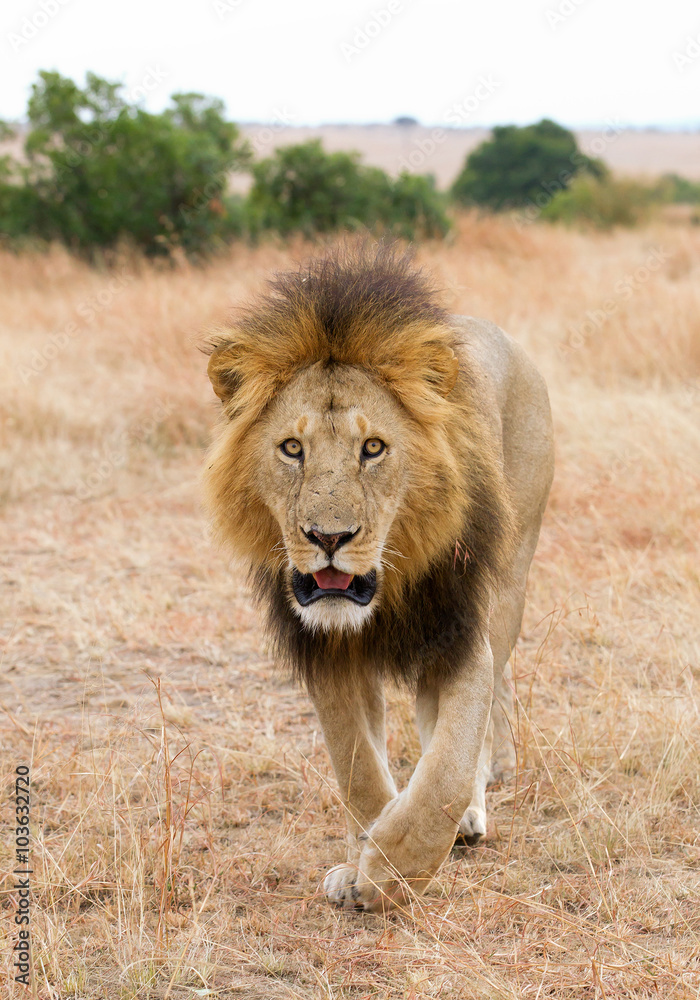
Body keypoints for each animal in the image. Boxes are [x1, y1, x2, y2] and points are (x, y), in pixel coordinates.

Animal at [202, 242, 552, 916]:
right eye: (291, 448)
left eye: (373, 448)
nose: (328, 538)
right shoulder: (328, 653)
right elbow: (357, 765)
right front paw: (362, 854)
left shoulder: (459, 633)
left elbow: (445, 770)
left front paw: (392, 870)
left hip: (511, 578)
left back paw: (473, 810)